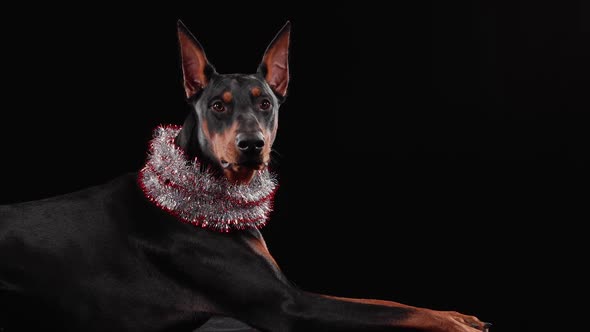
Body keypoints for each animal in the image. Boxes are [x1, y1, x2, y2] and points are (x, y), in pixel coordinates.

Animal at [0, 22, 490, 330]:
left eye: (265, 103)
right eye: (217, 105)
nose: (251, 144)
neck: (201, 192)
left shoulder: (290, 290)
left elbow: (385, 301)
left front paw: (461, 315)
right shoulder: (289, 306)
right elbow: (392, 313)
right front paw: (456, 323)